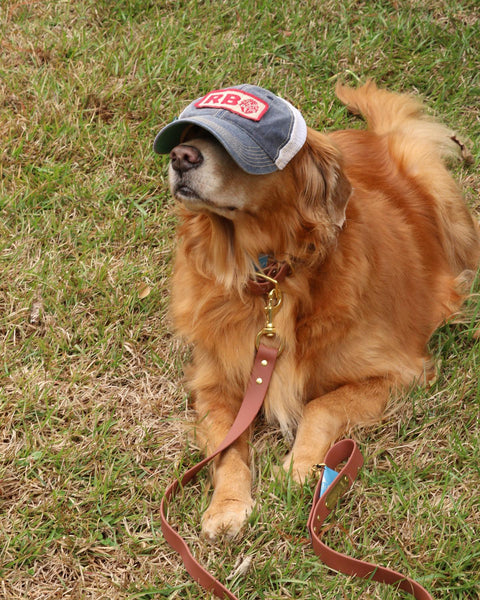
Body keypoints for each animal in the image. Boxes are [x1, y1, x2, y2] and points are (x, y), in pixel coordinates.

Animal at [157, 79, 476, 540]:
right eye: (188, 136)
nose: (182, 157)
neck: (269, 279)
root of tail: (377, 136)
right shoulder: (214, 383)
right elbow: (228, 448)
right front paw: (227, 506)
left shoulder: (401, 371)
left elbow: (320, 406)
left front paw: (300, 466)